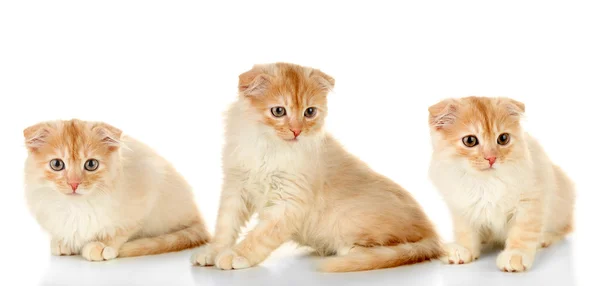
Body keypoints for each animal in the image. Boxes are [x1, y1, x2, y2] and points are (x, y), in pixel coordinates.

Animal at [22, 120, 211, 262]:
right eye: (57, 164)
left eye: (91, 164)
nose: (74, 184)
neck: (77, 205)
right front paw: (63, 241)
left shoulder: (144, 196)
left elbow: (119, 231)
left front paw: (102, 245)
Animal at [190, 61, 442, 272]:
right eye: (278, 111)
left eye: (309, 112)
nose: (296, 131)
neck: (269, 149)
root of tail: (432, 233)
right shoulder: (236, 187)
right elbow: (225, 225)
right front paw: (213, 251)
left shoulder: (288, 203)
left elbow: (260, 236)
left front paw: (237, 255)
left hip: (351, 219)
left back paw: (346, 250)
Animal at [426, 96, 576, 272]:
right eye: (470, 140)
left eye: (503, 139)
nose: (491, 158)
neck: (485, 182)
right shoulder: (461, 207)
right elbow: (466, 232)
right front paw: (463, 249)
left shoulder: (531, 202)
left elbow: (522, 232)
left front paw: (515, 255)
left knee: (563, 229)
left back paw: (544, 238)